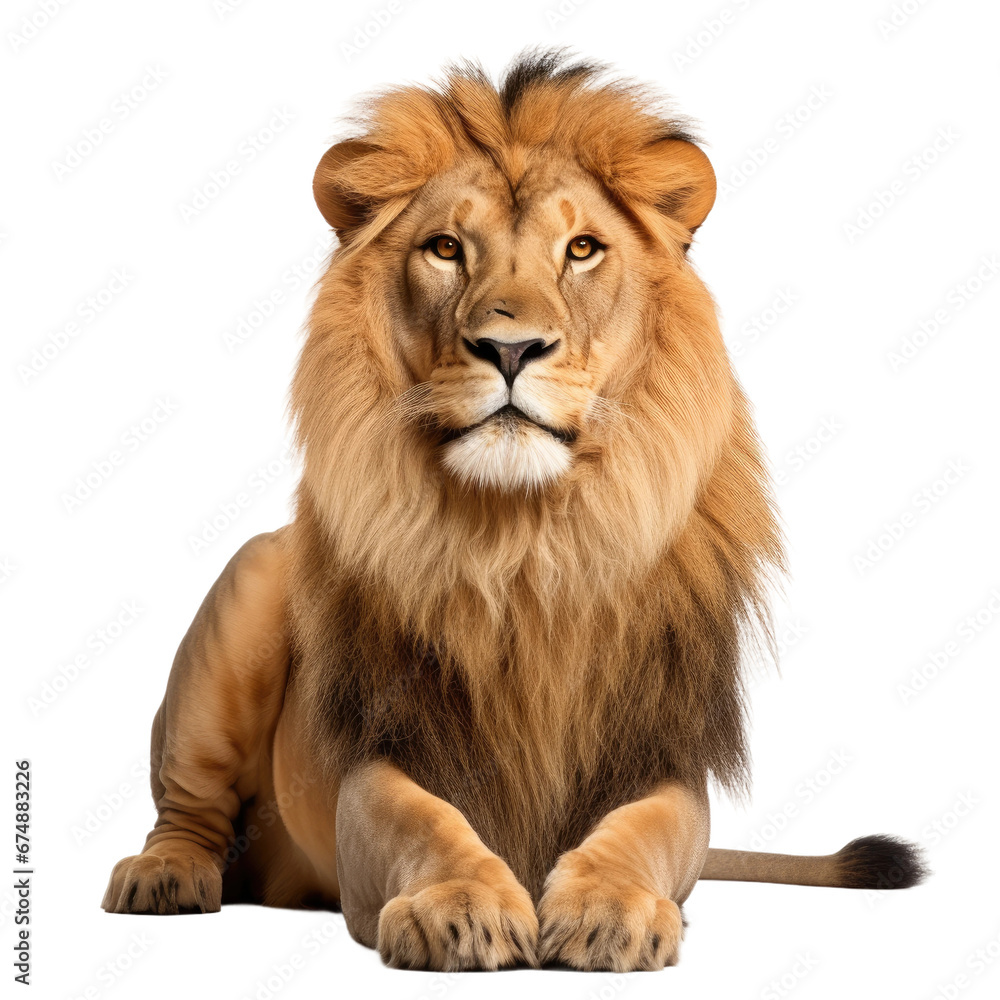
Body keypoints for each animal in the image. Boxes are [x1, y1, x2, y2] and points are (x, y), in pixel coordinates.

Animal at [102, 50, 925, 972]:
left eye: (582, 249)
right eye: (446, 249)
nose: (510, 347)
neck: (526, 544)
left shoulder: (662, 754)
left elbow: (644, 828)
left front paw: (611, 910)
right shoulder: (381, 756)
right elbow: (425, 821)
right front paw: (459, 907)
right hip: (244, 587)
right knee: (189, 807)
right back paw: (163, 876)